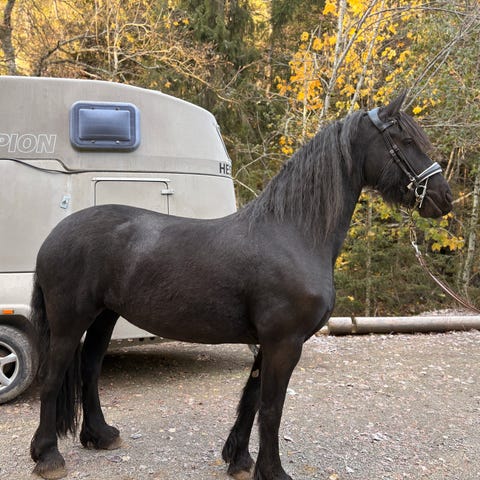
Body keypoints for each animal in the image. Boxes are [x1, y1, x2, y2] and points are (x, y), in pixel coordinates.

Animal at [29, 92, 452, 480]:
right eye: (406, 140)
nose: (443, 197)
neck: (293, 233)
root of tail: (53, 236)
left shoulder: (269, 342)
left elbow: (251, 399)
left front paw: (240, 460)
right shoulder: (285, 342)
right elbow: (272, 408)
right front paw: (273, 471)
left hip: (105, 316)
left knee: (89, 368)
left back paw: (99, 435)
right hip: (70, 320)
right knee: (53, 376)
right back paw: (48, 456)